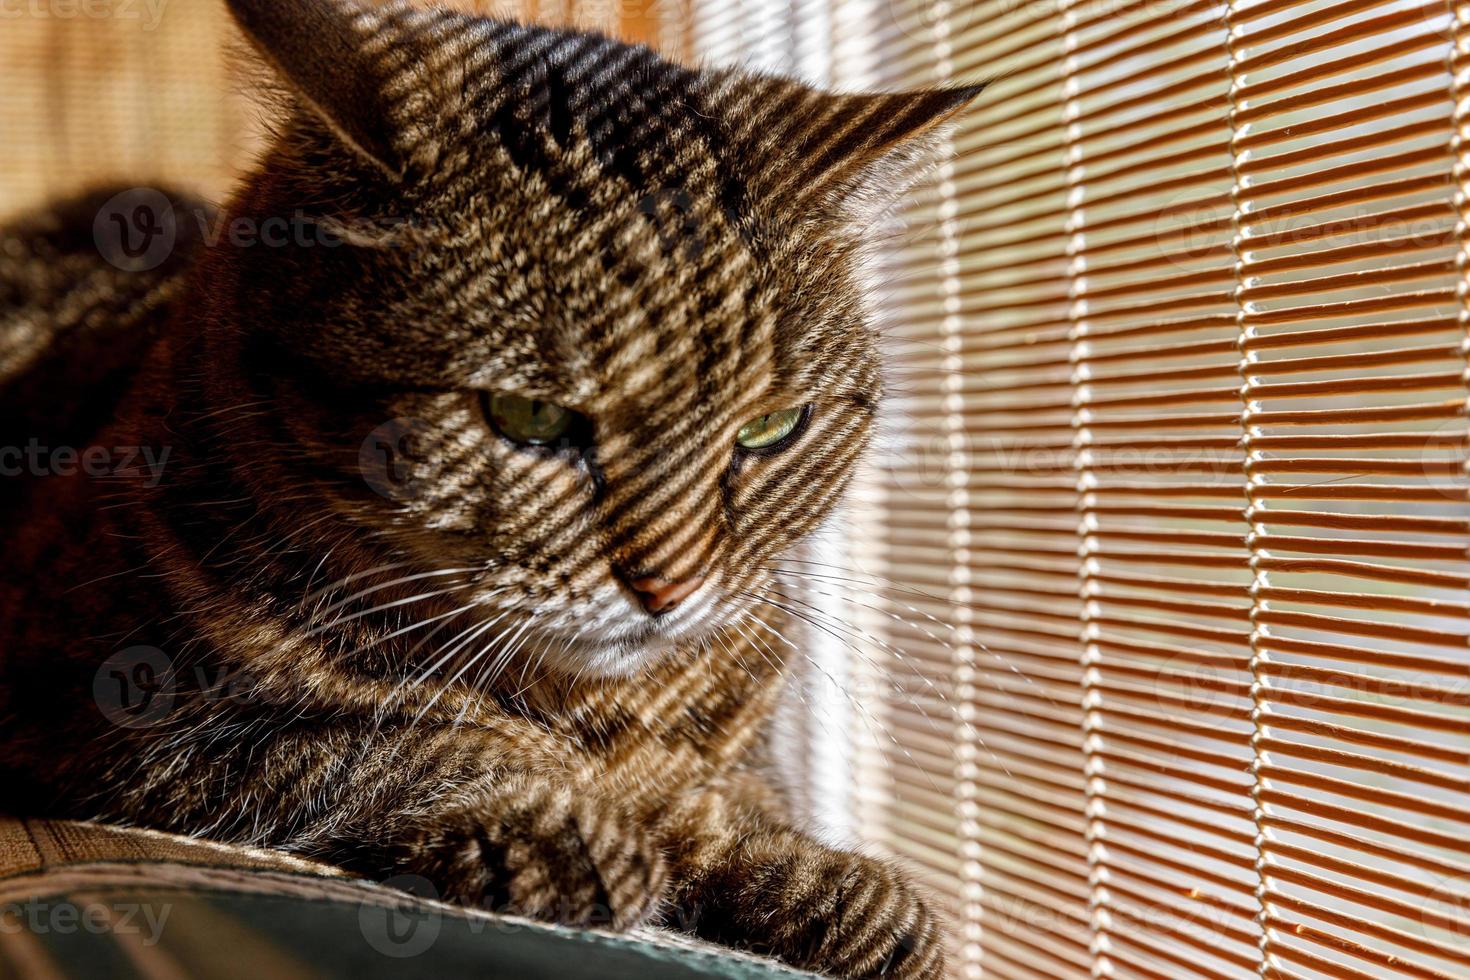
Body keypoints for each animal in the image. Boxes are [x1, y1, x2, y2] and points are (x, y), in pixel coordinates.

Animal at [2, 3, 987, 975]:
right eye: (529, 417)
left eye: (773, 428)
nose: (669, 587)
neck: (595, 712)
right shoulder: (109, 711)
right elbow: (381, 745)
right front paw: (555, 820)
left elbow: (730, 795)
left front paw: (828, 881)